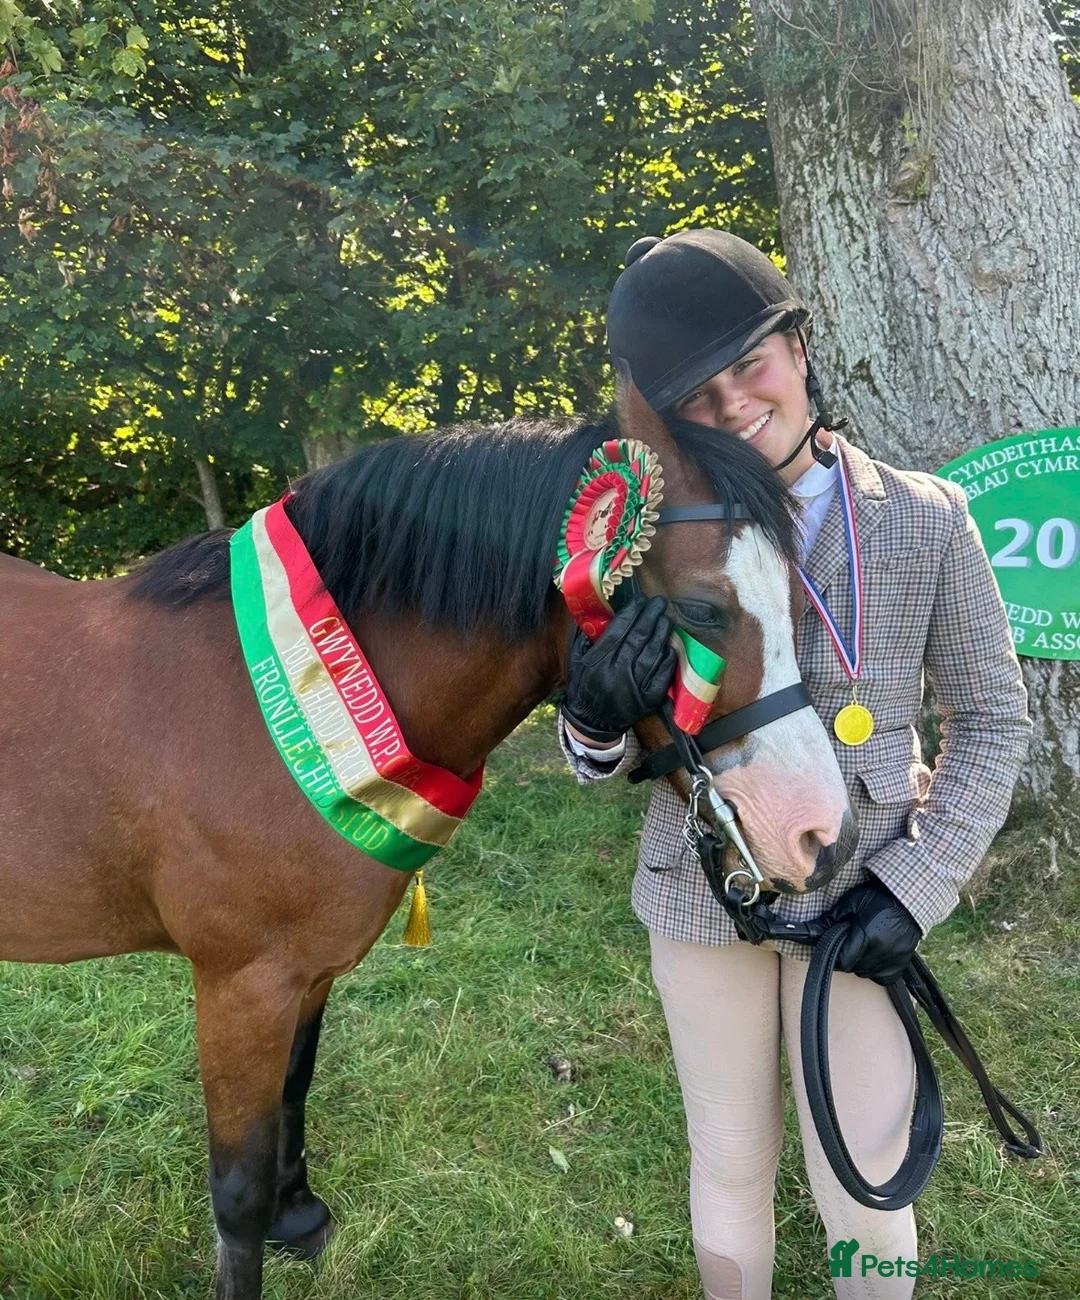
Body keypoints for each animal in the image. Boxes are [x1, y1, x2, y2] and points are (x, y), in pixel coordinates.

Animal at [0, 386, 853, 1299]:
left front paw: (295, 1219)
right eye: (701, 611)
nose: (821, 833)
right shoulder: (241, 987)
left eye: (797, 600)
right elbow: (236, 1189)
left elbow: (293, 1094)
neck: (264, 703)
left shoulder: (301, 977)